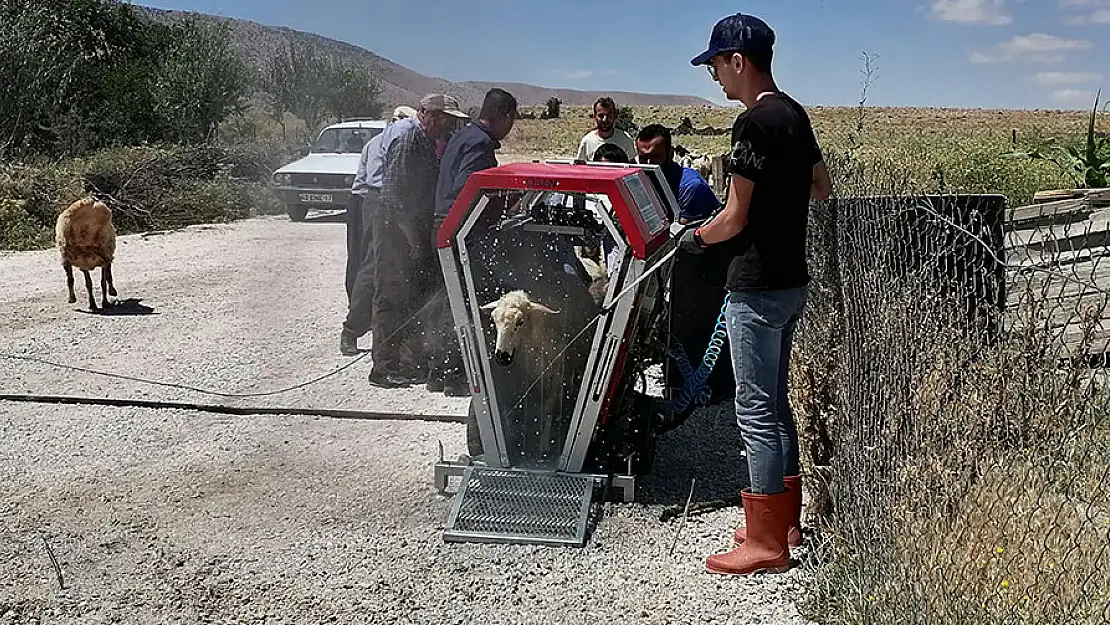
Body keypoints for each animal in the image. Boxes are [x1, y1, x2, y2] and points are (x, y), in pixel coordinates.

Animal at [432, 159, 737, 548]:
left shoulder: (555, 376)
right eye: (494, 321)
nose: (500, 357)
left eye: (520, 321)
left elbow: (549, 416)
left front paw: (544, 451)